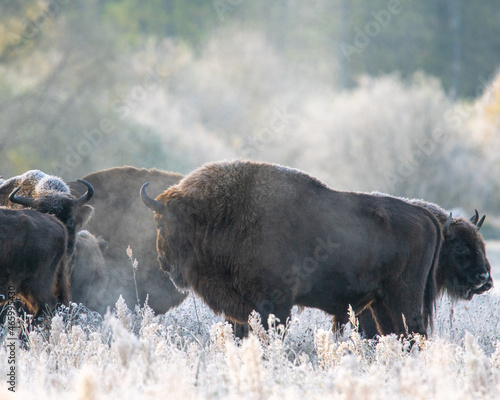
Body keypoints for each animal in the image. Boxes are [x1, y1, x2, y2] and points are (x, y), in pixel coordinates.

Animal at [141, 159, 442, 338]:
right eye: (157, 221)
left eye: (166, 222)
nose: (165, 262)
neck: (222, 216)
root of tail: (424, 216)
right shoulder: (242, 310)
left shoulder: (275, 304)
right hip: (380, 303)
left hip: (403, 298)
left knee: (414, 335)